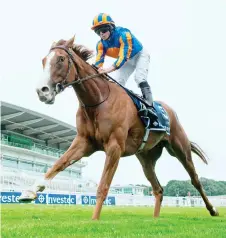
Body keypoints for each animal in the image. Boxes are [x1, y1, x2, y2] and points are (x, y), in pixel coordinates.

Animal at [19, 36, 219, 219]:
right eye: (44, 60)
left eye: (61, 59)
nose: (42, 91)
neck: (97, 102)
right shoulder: (84, 142)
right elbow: (58, 164)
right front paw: (29, 191)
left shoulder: (114, 146)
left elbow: (103, 186)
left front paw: (94, 220)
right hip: (146, 158)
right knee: (158, 189)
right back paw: (155, 219)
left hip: (180, 147)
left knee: (195, 180)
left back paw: (213, 210)